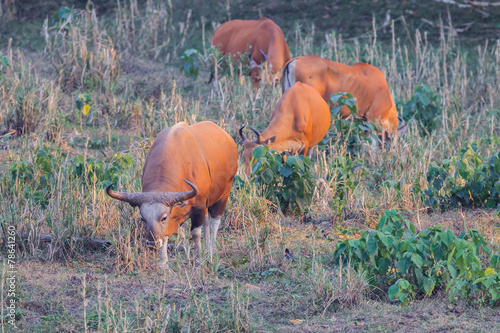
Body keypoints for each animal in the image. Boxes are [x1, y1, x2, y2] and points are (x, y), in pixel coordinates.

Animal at [106, 120, 238, 266]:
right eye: (142, 218)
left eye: (163, 217)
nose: (152, 244)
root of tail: (227, 137)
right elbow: (165, 236)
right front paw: (163, 263)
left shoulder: (199, 207)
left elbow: (196, 233)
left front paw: (198, 259)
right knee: (207, 221)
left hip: (225, 192)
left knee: (215, 221)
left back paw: (212, 250)